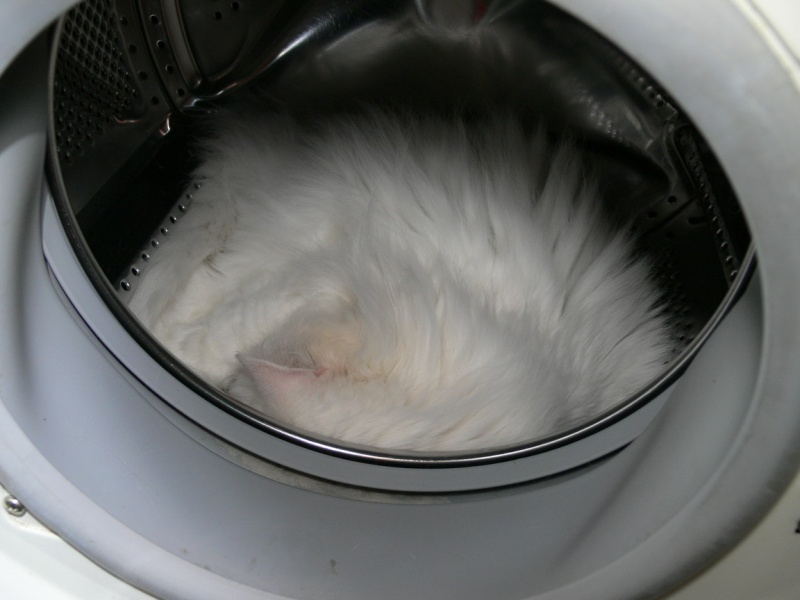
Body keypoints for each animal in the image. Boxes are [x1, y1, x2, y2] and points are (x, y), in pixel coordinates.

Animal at [127, 106, 672, 452]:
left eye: (241, 396)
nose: (228, 391)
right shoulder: (323, 273)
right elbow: (229, 327)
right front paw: (181, 352)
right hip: (290, 223)